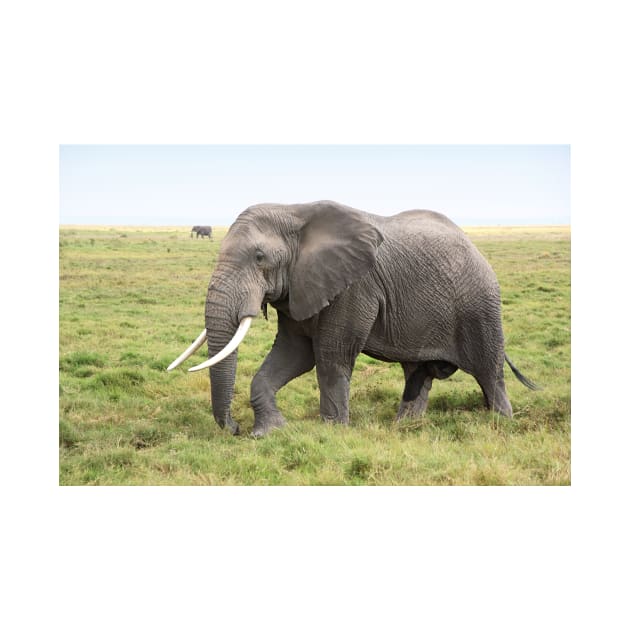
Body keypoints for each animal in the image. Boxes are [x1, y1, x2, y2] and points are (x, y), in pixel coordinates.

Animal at [170, 200, 540, 436]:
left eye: (259, 257)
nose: (233, 429)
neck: (294, 211)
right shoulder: (300, 287)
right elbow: (294, 354)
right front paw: (269, 432)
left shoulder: (354, 286)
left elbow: (330, 356)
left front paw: (331, 433)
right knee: (417, 373)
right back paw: (404, 428)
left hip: (480, 307)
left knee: (489, 373)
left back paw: (501, 425)